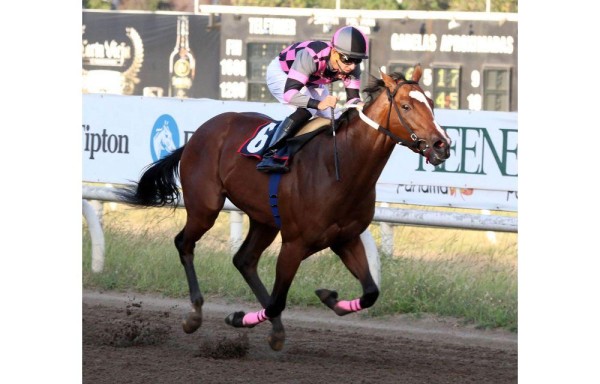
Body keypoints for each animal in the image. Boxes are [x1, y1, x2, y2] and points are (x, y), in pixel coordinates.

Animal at [118, 65, 450, 352]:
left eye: (432, 103)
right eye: (406, 106)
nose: (442, 145)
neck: (340, 166)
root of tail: (199, 133)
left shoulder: (346, 238)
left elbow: (370, 293)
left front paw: (328, 297)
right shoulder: (294, 243)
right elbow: (278, 300)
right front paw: (238, 318)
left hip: (264, 219)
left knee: (244, 260)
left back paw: (274, 328)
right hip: (205, 206)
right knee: (184, 243)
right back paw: (195, 314)